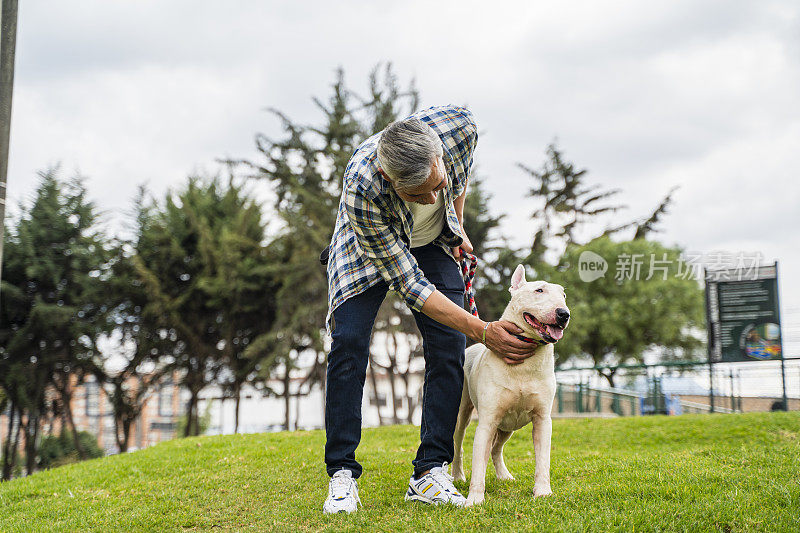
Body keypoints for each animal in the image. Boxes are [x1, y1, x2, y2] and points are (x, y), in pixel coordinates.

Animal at [456, 264, 568, 504]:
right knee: (458, 444)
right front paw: (474, 500)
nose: (564, 314)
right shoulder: (487, 421)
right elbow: (477, 465)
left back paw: (504, 476)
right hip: (463, 414)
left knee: (496, 449)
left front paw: (542, 492)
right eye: (539, 290)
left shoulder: (542, 420)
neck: (525, 364)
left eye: (563, 296)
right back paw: (457, 476)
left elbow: (542, 460)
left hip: (508, 426)